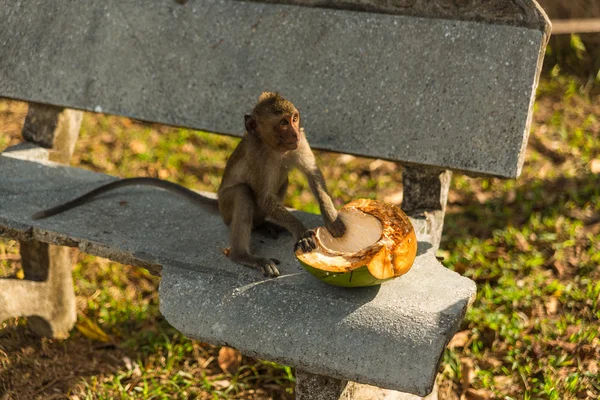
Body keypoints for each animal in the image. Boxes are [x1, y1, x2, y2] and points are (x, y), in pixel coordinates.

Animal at [32, 92, 344, 276]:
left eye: (294, 119)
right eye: (282, 123)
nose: (294, 133)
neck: (274, 149)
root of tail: (217, 204)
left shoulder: (300, 145)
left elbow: (313, 176)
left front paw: (333, 220)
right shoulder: (259, 157)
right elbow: (264, 197)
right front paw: (301, 231)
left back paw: (262, 226)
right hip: (227, 207)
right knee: (243, 193)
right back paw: (244, 255)